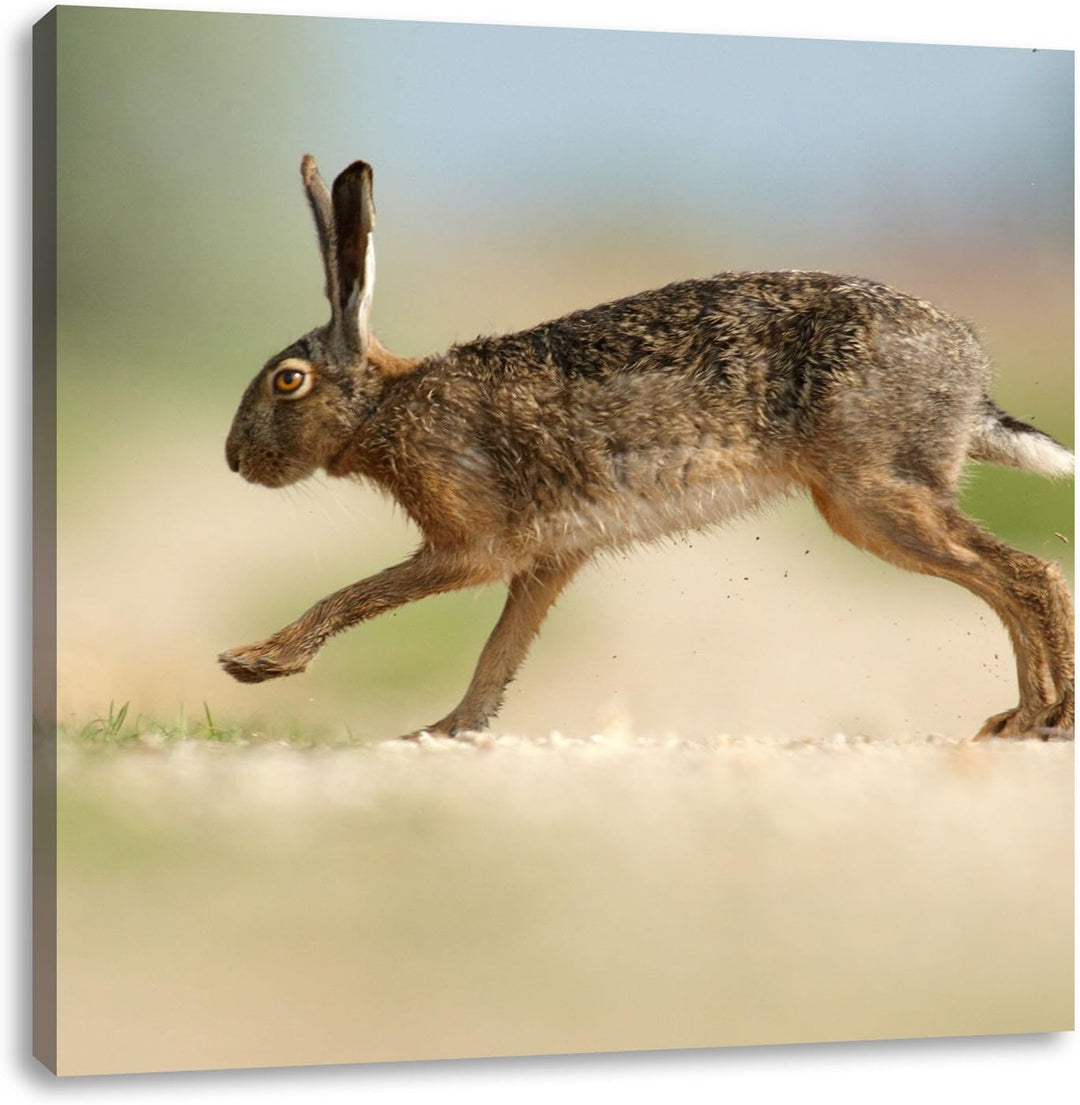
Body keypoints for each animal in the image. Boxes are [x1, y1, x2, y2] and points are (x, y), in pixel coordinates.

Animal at [221, 155, 1074, 741]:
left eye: (288, 382)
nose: (233, 460)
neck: (382, 404)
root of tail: (971, 372)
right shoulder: (549, 558)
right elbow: (500, 652)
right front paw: (443, 731)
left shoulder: (472, 545)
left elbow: (362, 593)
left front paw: (256, 663)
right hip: (871, 501)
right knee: (1010, 579)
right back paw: (1022, 717)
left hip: (874, 492)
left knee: (1027, 574)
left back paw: (1043, 718)